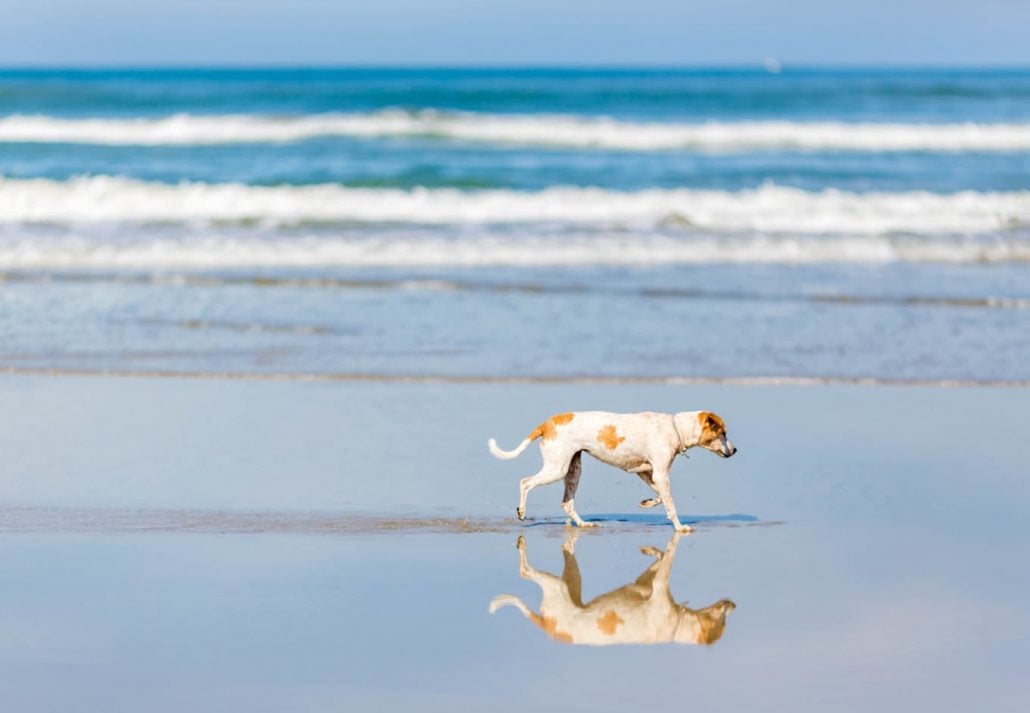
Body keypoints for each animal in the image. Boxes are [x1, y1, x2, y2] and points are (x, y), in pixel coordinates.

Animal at [488, 410, 737, 531]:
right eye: (723, 433)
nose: (735, 450)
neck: (675, 428)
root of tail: (547, 424)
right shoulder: (660, 473)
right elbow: (671, 504)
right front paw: (679, 527)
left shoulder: (646, 472)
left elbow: (659, 496)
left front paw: (648, 502)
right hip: (556, 468)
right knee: (525, 482)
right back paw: (521, 511)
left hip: (573, 470)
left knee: (567, 503)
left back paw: (583, 524)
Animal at [488, 535, 737, 647]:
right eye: (721, 624)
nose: (734, 605)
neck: (676, 625)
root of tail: (546, 624)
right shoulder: (659, 589)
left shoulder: (644, 585)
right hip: (557, 587)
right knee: (525, 572)